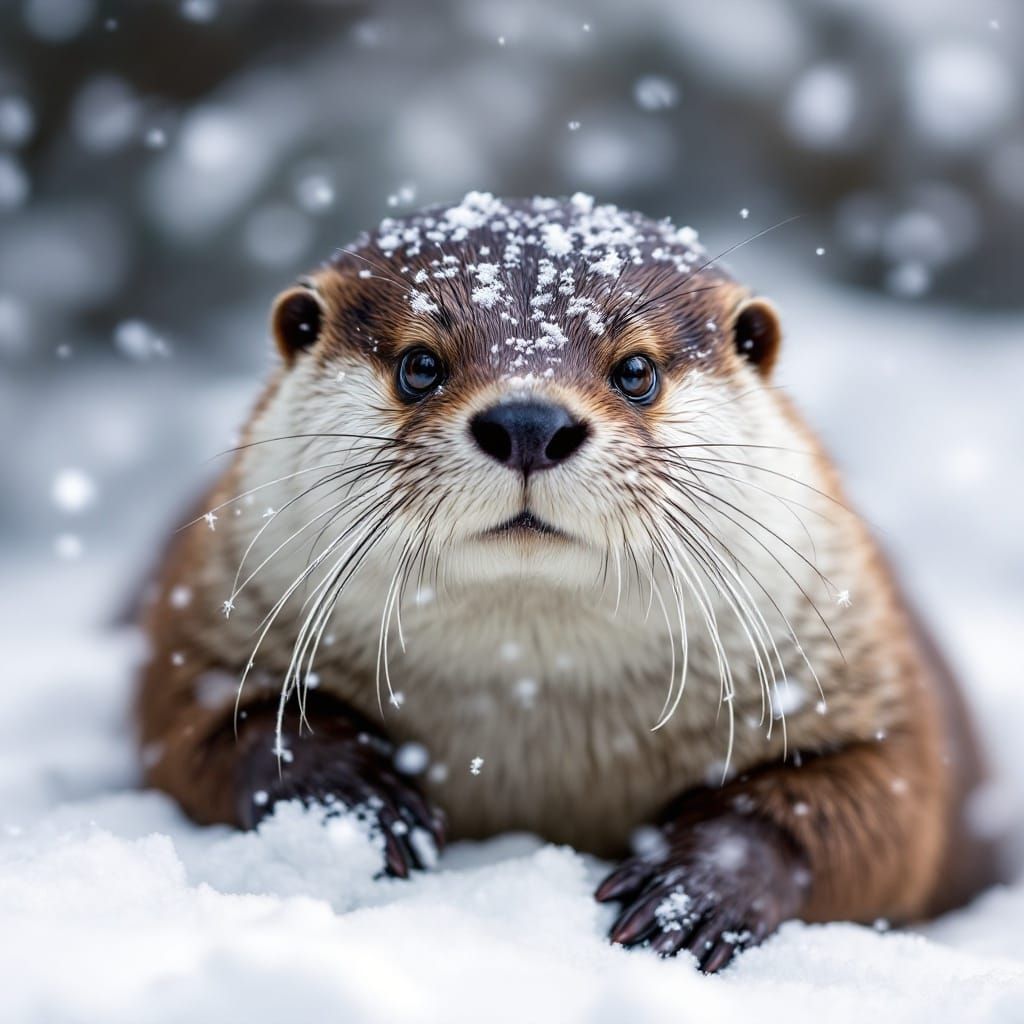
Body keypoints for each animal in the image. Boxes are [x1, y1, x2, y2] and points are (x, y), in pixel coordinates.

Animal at [137, 192, 994, 972]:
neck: (532, 709)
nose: (527, 422)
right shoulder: (207, 625)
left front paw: (692, 891)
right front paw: (356, 799)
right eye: (419, 365)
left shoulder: (862, 678)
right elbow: (201, 729)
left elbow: (888, 807)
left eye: (637, 371)